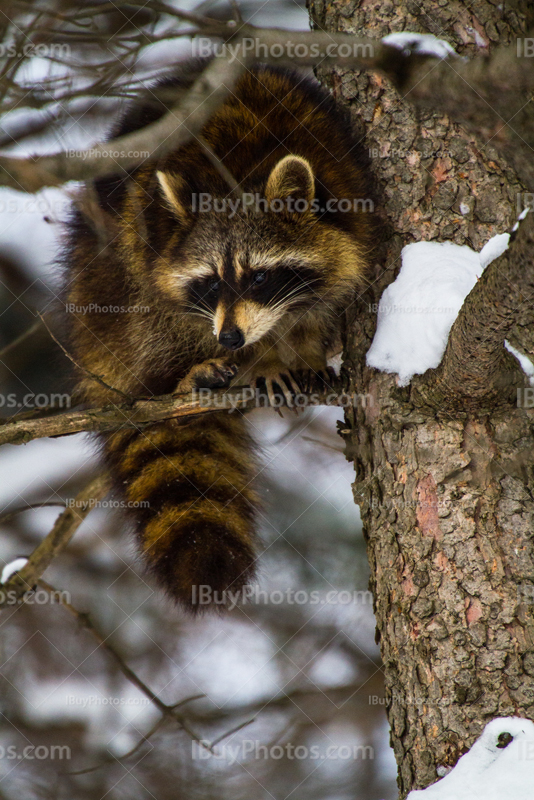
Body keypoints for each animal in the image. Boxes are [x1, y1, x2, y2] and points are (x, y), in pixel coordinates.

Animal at [62, 62, 378, 612]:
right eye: (211, 283)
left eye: (259, 277)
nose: (231, 339)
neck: (240, 171)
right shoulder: (155, 235)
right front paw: (267, 356)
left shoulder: (347, 186)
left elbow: (324, 300)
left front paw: (304, 346)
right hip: (102, 278)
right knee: (140, 304)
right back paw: (185, 375)